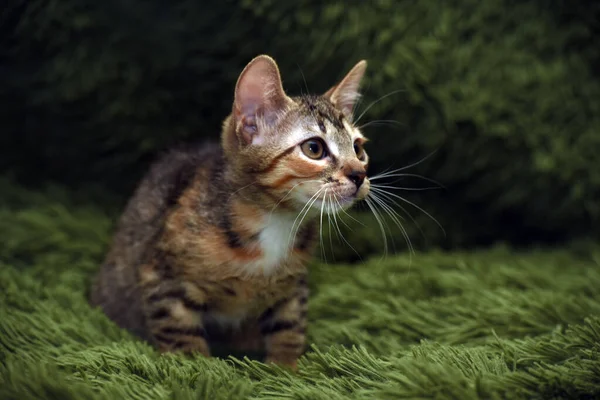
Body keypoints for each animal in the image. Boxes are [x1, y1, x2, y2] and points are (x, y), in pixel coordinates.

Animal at [90, 55, 370, 368]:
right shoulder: (162, 278)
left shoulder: (292, 289)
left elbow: (289, 327)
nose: (359, 175)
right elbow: (181, 333)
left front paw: (286, 368)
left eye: (358, 149)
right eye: (314, 148)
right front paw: (195, 367)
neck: (274, 220)